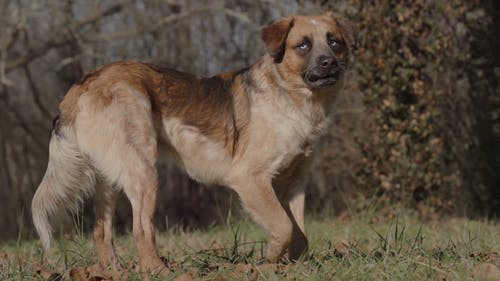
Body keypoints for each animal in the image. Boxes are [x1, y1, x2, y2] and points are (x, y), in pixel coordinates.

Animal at [31, 11, 356, 272]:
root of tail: (82, 84)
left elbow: (301, 235)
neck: (294, 98)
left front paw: (288, 263)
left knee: (101, 232)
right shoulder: (251, 179)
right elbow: (284, 226)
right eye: (303, 45)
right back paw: (157, 270)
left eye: (334, 42)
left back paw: (115, 270)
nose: (329, 63)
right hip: (143, 172)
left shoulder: (295, 184)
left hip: (109, 179)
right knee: (141, 230)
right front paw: (271, 259)